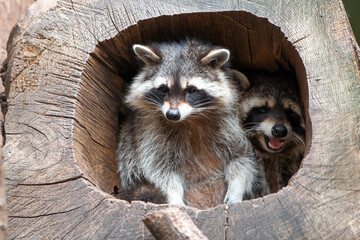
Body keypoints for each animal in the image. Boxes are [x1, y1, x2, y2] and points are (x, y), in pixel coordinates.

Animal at [117, 39, 256, 208]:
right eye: (163, 89)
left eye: (191, 90)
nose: (172, 115)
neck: (190, 118)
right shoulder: (150, 130)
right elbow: (160, 168)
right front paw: (174, 197)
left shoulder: (229, 124)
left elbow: (241, 156)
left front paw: (236, 188)